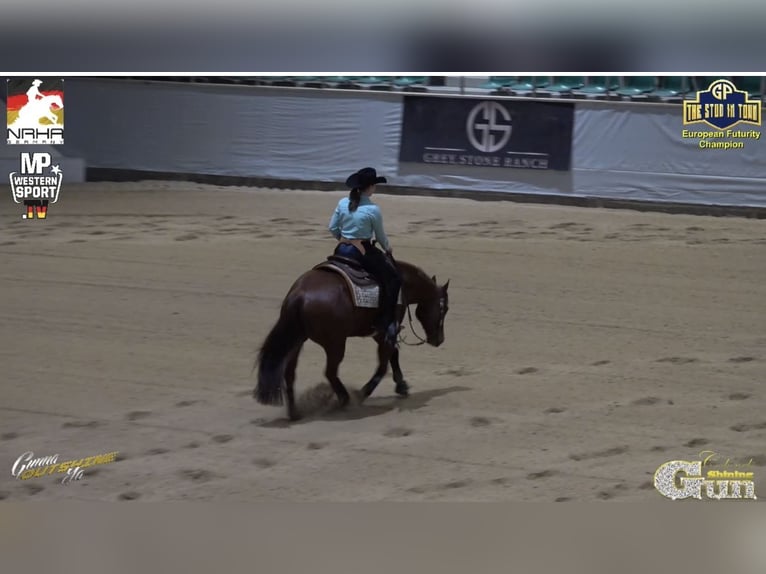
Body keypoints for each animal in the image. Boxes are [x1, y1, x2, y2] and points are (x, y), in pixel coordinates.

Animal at [255, 254, 452, 420]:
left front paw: (401, 385)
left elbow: (393, 355)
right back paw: (344, 400)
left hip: (297, 341)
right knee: (330, 372)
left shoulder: (380, 333)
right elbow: (383, 365)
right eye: (444, 309)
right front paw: (363, 393)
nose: (439, 340)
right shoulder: (386, 331)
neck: (403, 283)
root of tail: (299, 295)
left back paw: (295, 412)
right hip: (335, 344)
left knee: (290, 373)